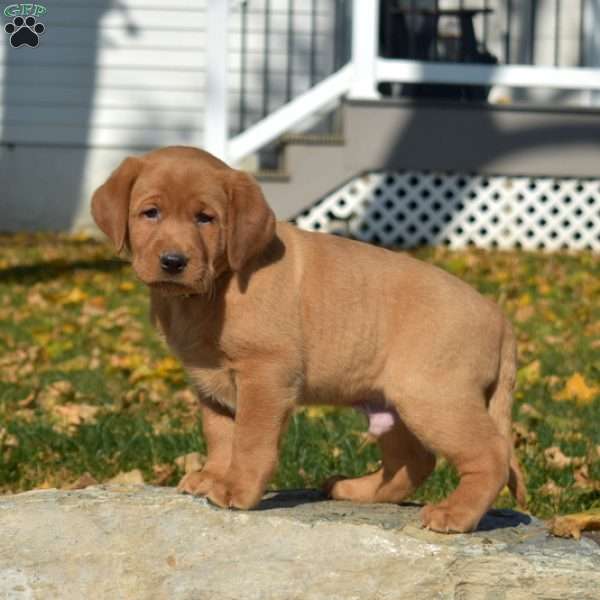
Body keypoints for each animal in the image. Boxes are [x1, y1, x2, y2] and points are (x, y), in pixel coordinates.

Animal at [90, 148, 524, 532]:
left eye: (205, 219)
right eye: (151, 213)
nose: (173, 262)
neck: (212, 292)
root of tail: (499, 316)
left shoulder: (267, 375)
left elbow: (249, 440)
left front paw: (236, 488)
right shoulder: (208, 381)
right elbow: (220, 435)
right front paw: (212, 476)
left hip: (434, 397)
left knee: (492, 454)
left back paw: (456, 514)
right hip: (390, 402)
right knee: (414, 460)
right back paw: (355, 490)